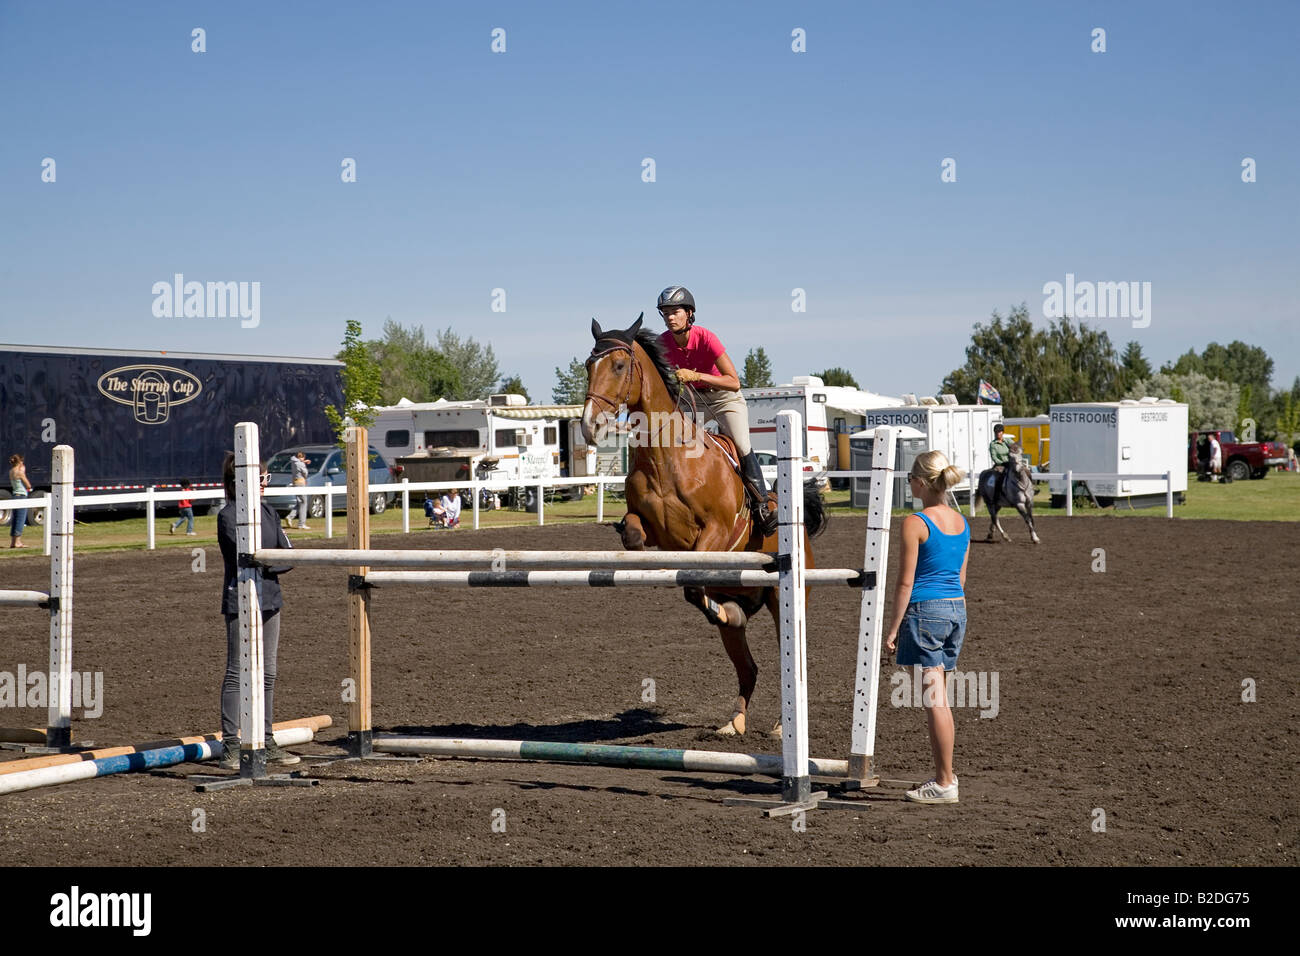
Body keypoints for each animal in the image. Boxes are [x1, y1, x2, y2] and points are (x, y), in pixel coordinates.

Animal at [580, 314, 828, 737]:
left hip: (783, 600)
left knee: (787, 663)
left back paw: (782, 727)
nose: (588, 426)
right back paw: (734, 721)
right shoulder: (654, 532)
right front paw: (723, 609)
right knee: (748, 666)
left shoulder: (718, 531)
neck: (667, 456)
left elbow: (695, 583)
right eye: (586, 366)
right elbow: (637, 538)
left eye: (619, 365)